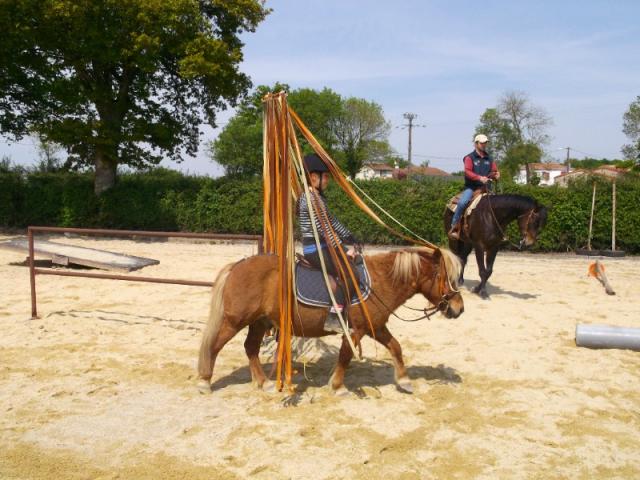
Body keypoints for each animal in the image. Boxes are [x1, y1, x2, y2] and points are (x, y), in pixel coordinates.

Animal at [198, 248, 462, 394]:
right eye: (446, 277)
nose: (459, 308)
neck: (378, 281)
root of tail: (236, 266)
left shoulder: (375, 326)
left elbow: (395, 347)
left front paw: (405, 381)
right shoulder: (356, 330)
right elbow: (345, 356)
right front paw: (337, 386)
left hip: (260, 321)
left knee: (250, 348)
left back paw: (264, 383)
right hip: (235, 321)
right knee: (214, 347)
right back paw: (205, 381)